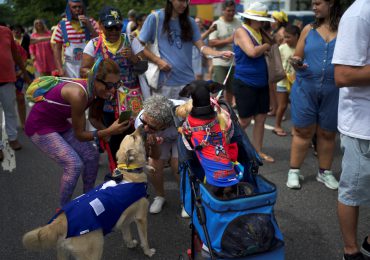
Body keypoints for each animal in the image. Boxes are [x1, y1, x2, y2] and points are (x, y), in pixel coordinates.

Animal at [22, 127, 155, 260]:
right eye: (133, 136)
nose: (142, 125)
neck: (129, 173)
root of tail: (61, 221)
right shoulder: (141, 218)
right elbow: (144, 240)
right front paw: (148, 252)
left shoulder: (125, 219)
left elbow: (127, 235)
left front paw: (130, 244)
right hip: (94, 250)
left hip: (63, 253)